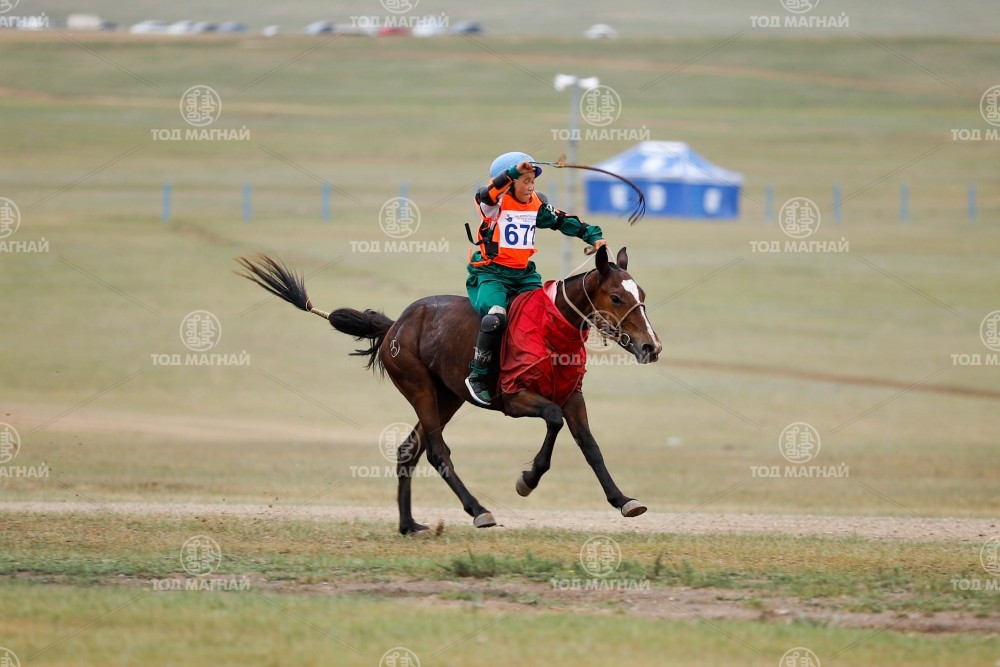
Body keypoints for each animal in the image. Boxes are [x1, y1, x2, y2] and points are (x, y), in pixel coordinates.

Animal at [236, 245, 663, 534]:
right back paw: (477, 510)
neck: (551, 327)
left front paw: (623, 500)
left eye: (642, 294)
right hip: (419, 387)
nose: (651, 347)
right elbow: (554, 422)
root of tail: (395, 324)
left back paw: (409, 525)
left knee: (409, 449)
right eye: (617, 297)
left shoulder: (573, 396)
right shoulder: (517, 399)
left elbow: (590, 446)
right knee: (437, 451)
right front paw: (527, 480)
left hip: (449, 396)